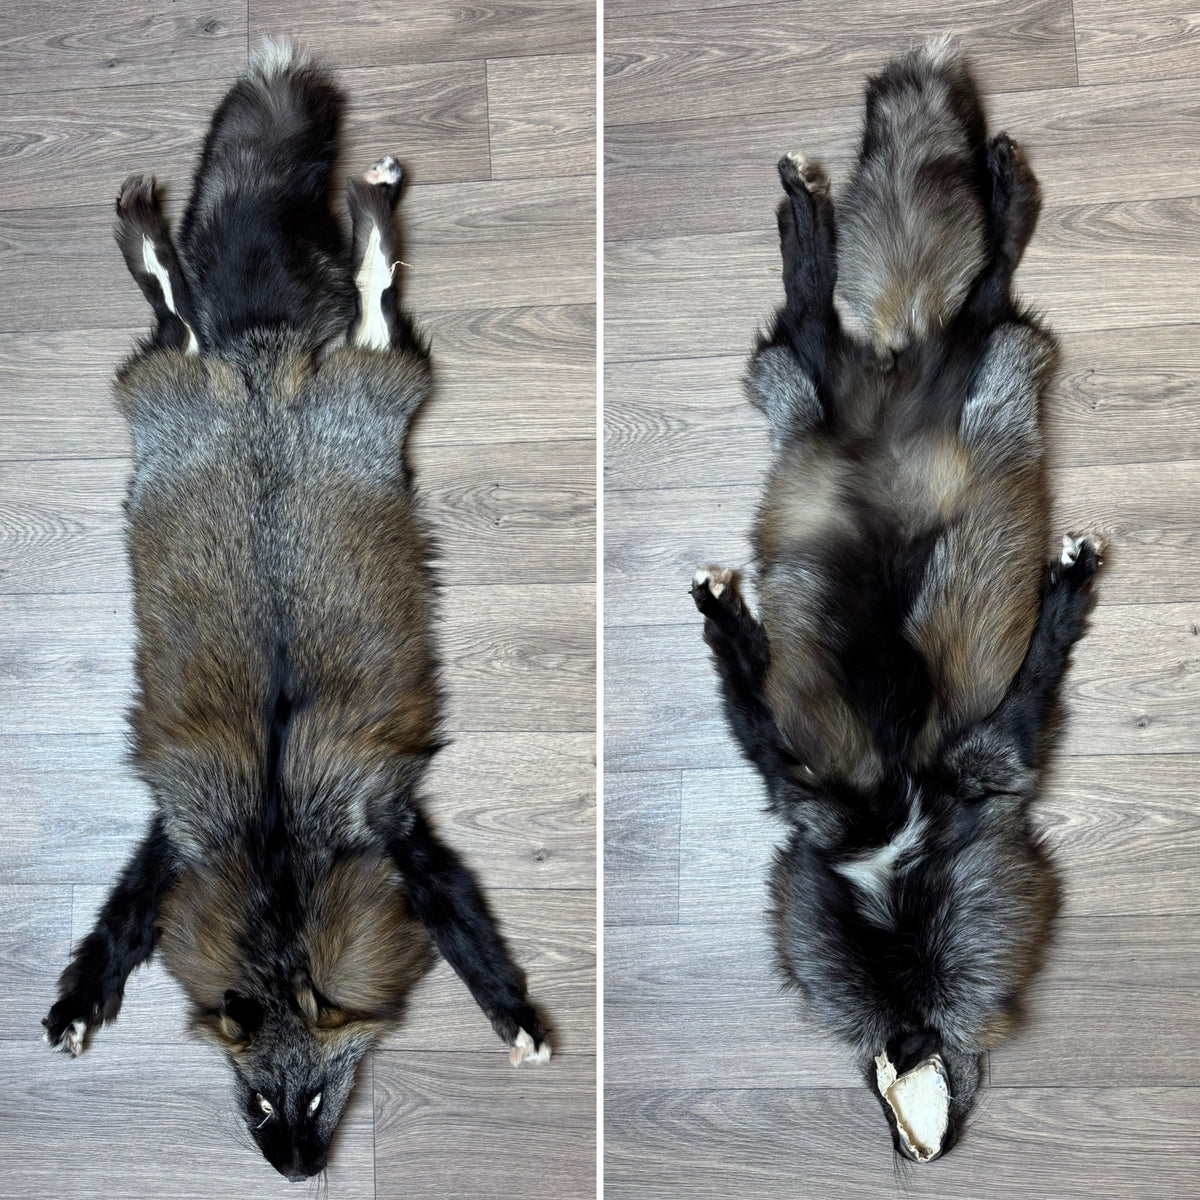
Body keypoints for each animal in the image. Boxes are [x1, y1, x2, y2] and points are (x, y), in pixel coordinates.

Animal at [43, 41, 550, 1181]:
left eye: (315, 1097)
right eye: (258, 1104)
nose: (295, 1173)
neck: (276, 846)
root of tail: (263, 360)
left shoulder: (392, 827)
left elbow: (471, 942)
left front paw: (516, 1015)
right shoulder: (181, 828)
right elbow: (120, 921)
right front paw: (81, 999)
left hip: (376, 382)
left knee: (355, 300)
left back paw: (351, 210)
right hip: (198, 387)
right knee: (187, 319)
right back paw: (166, 241)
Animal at [691, 38, 1102, 1161]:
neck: (901, 848)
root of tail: (903, 355)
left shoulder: (975, 766)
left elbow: (1039, 663)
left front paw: (1067, 592)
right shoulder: (823, 794)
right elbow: (753, 707)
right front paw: (726, 624)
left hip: (972, 362)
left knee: (984, 284)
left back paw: (982, 199)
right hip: (813, 388)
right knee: (819, 313)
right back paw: (814, 226)